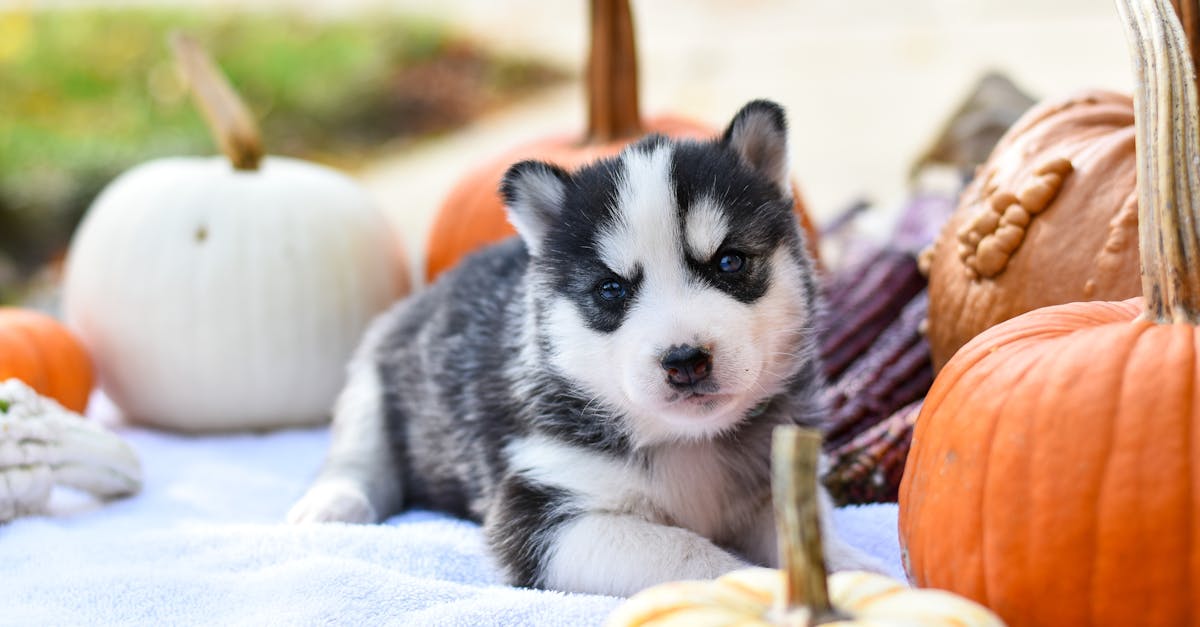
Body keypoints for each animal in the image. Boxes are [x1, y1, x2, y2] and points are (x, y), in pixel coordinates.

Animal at [285, 100, 878, 593]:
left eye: (730, 262)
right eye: (611, 289)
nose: (685, 362)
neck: (687, 444)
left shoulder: (771, 476)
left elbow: (806, 527)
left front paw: (849, 568)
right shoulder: (544, 513)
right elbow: (685, 553)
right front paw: (749, 583)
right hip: (374, 374)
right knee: (359, 453)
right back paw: (331, 502)